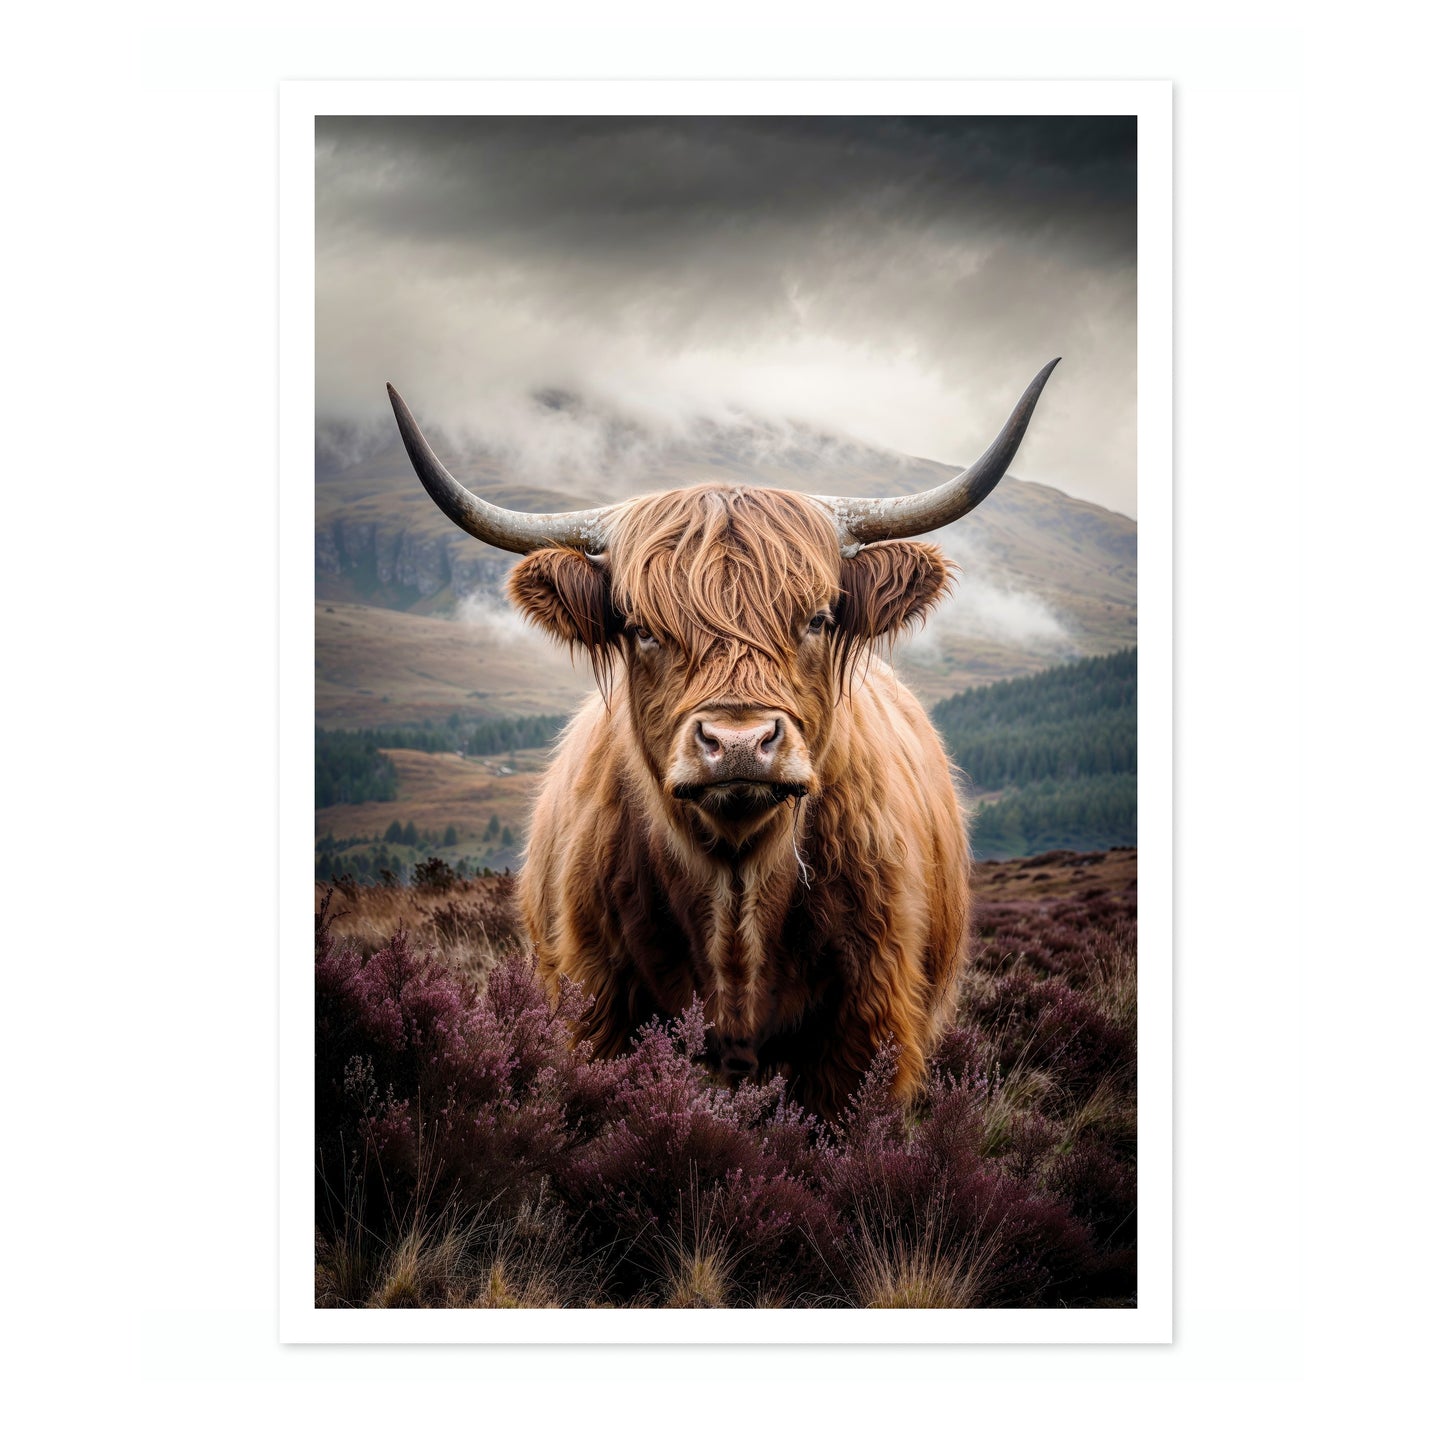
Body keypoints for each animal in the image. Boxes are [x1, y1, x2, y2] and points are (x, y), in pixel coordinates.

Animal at [386, 360, 1059, 1116]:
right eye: (641, 627)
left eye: (818, 617)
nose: (738, 742)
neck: (736, 891)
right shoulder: (597, 1009)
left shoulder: (865, 1027)